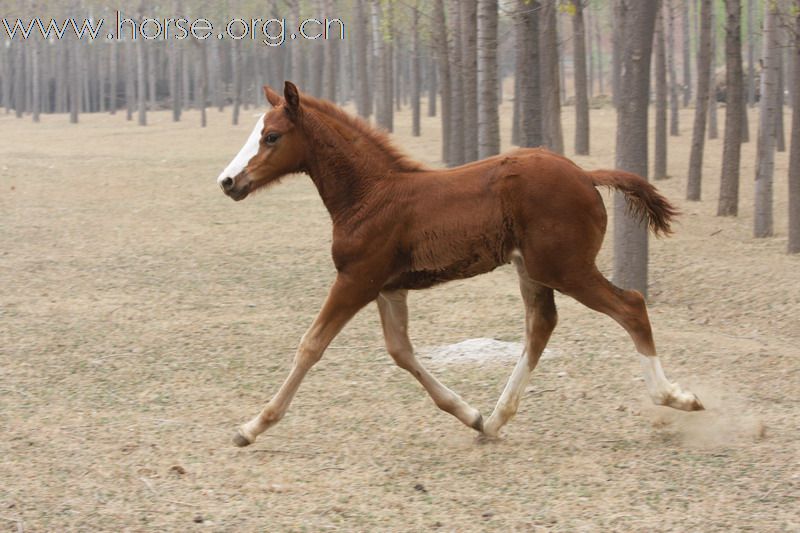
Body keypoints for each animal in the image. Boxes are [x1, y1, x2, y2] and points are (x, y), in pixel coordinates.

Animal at [216, 82, 704, 444]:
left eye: (272, 136)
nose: (228, 181)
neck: (371, 194)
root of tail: (587, 174)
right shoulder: (388, 286)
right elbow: (401, 351)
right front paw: (468, 413)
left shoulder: (357, 279)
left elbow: (311, 345)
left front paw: (252, 426)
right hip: (533, 269)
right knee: (541, 325)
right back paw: (495, 419)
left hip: (565, 269)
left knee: (631, 306)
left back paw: (676, 397)